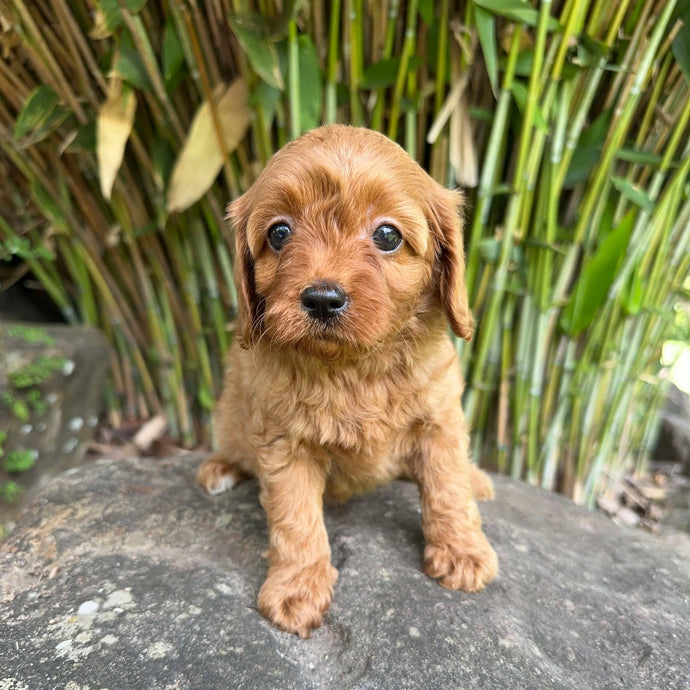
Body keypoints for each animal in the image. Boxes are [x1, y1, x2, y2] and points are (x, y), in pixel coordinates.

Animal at [198, 123, 494, 636]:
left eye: (387, 235)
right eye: (279, 233)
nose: (322, 298)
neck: (354, 366)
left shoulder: (439, 419)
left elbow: (447, 485)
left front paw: (462, 552)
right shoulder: (283, 443)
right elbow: (296, 519)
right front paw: (297, 589)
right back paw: (220, 468)